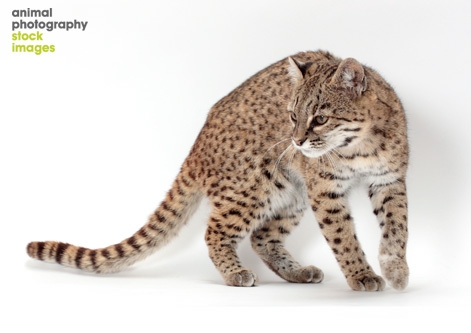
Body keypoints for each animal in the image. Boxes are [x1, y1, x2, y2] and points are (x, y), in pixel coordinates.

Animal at [26, 50, 410, 290]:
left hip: (292, 193)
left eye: (320, 118)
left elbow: (397, 229)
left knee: (262, 236)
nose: (297, 141)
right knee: (216, 233)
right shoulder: (325, 189)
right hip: (254, 187)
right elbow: (343, 236)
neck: (359, 147)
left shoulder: (390, 180)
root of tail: (197, 143)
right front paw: (362, 274)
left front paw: (395, 269)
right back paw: (236, 273)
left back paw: (297, 272)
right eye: (291, 116)